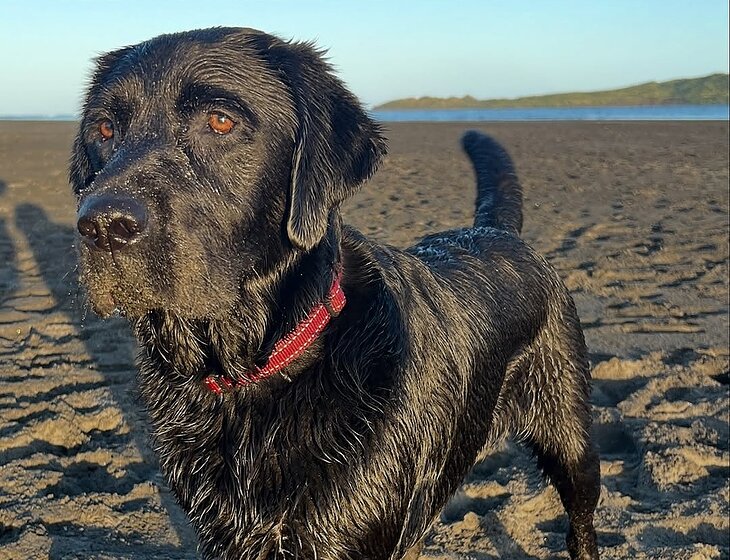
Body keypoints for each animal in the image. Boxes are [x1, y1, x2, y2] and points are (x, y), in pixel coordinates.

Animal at [71, 27, 601, 560]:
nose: (104, 225)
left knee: (581, 522)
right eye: (104, 130)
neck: (253, 373)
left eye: (220, 121)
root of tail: (496, 231)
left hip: (571, 439)